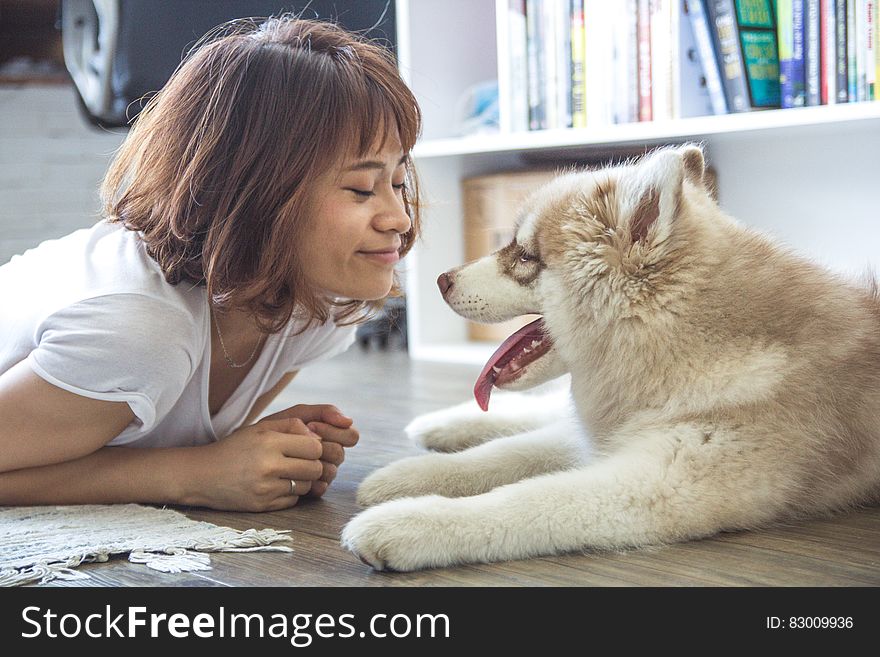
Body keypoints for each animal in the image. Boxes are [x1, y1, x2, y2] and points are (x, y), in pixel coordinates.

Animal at [338, 144, 880, 568]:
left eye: (524, 257)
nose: (439, 280)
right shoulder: (613, 436)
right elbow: (501, 455)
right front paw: (406, 477)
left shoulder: (658, 481)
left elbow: (527, 499)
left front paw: (409, 521)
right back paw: (440, 425)